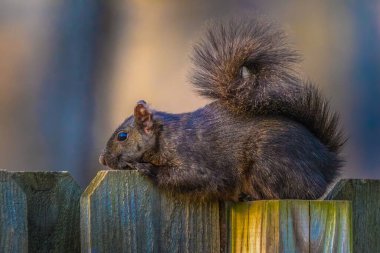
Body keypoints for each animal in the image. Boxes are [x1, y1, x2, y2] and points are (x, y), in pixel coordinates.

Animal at [98, 18, 344, 202]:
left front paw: (147, 168)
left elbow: (190, 177)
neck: (165, 136)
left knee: (297, 193)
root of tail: (328, 163)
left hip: (270, 163)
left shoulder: (195, 161)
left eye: (122, 136)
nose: (102, 159)